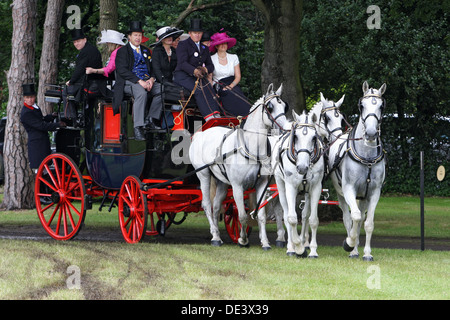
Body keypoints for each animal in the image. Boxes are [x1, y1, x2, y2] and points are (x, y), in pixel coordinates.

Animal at [189, 84, 288, 250]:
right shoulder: (237, 186)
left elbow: (261, 215)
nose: (286, 128)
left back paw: (217, 236)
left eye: (284, 106)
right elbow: (241, 215)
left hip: (222, 181)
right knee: (207, 204)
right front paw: (242, 239)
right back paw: (214, 235)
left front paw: (265, 242)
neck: (250, 148)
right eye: (270, 107)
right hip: (204, 175)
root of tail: (200, 134)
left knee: (216, 206)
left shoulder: (262, 184)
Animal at [326, 82, 386, 260]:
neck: (367, 158)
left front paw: (367, 253)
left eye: (381, 106)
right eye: (362, 105)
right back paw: (353, 249)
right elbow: (355, 217)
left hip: (363, 197)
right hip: (341, 194)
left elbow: (368, 222)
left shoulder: (374, 192)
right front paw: (349, 243)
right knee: (348, 218)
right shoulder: (348, 189)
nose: (371, 133)